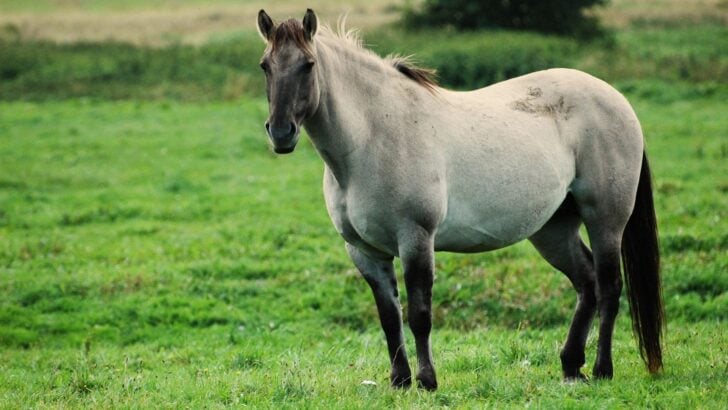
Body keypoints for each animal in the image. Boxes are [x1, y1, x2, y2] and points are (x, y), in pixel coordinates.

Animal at [256, 9, 664, 390]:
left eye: (308, 65)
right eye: (265, 66)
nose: (281, 133)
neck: (374, 138)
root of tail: (617, 99)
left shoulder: (416, 239)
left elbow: (419, 315)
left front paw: (427, 381)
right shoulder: (364, 252)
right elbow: (389, 318)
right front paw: (399, 380)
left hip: (606, 219)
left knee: (609, 287)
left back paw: (602, 369)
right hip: (553, 229)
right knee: (587, 283)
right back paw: (570, 366)